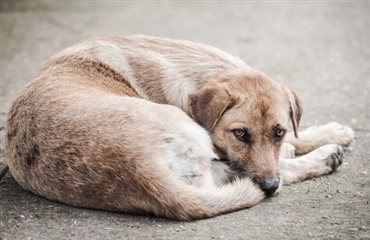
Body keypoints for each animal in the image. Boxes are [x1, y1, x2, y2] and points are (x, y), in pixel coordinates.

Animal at [3, 34, 356, 220]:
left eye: (278, 132)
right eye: (240, 134)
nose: (268, 186)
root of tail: (140, 170)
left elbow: (296, 136)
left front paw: (328, 133)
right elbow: (277, 163)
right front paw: (315, 146)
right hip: (196, 146)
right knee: (267, 174)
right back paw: (323, 158)